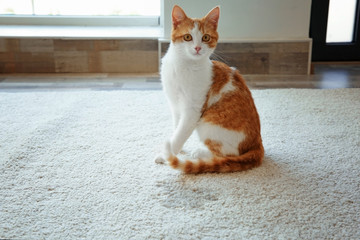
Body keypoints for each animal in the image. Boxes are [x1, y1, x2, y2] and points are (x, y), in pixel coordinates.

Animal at [155, 4, 264, 173]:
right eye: (187, 37)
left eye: (205, 37)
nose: (197, 48)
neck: (183, 66)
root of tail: (258, 143)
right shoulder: (175, 105)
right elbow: (177, 128)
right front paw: (177, 149)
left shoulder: (193, 110)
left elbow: (180, 133)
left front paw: (167, 154)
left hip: (208, 124)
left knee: (228, 153)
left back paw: (200, 152)